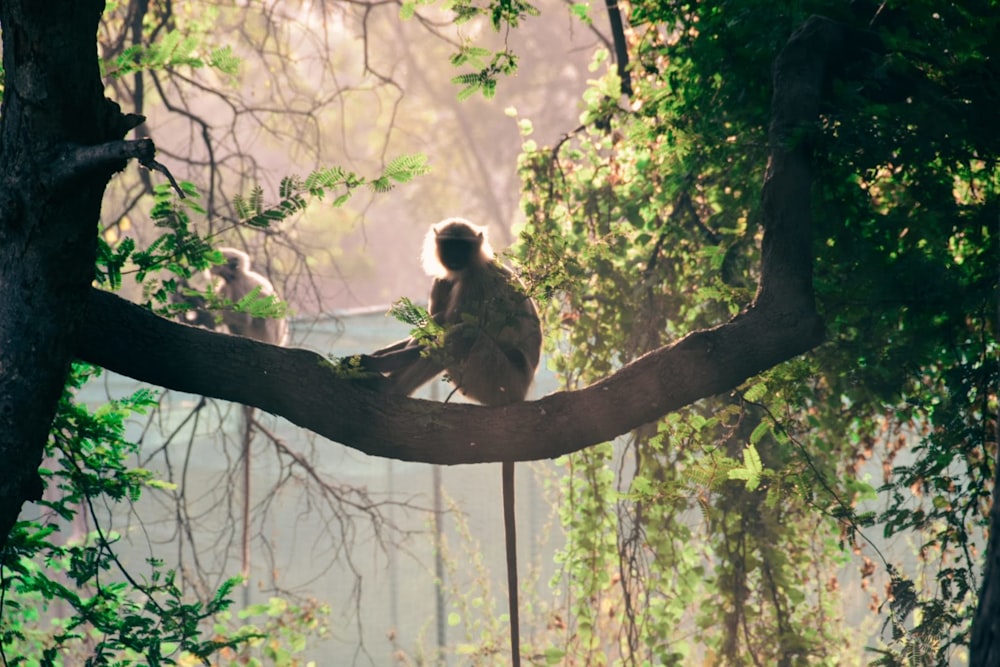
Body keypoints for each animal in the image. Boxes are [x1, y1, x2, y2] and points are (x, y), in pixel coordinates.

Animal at [364, 219, 544, 667]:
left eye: (464, 246)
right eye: (450, 245)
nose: (456, 258)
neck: (469, 268)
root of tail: (522, 392)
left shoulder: (475, 282)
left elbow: (445, 332)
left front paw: (371, 365)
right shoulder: (453, 278)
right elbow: (431, 321)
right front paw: (366, 360)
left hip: (495, 377)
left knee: (462, 335)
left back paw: (389, 389)